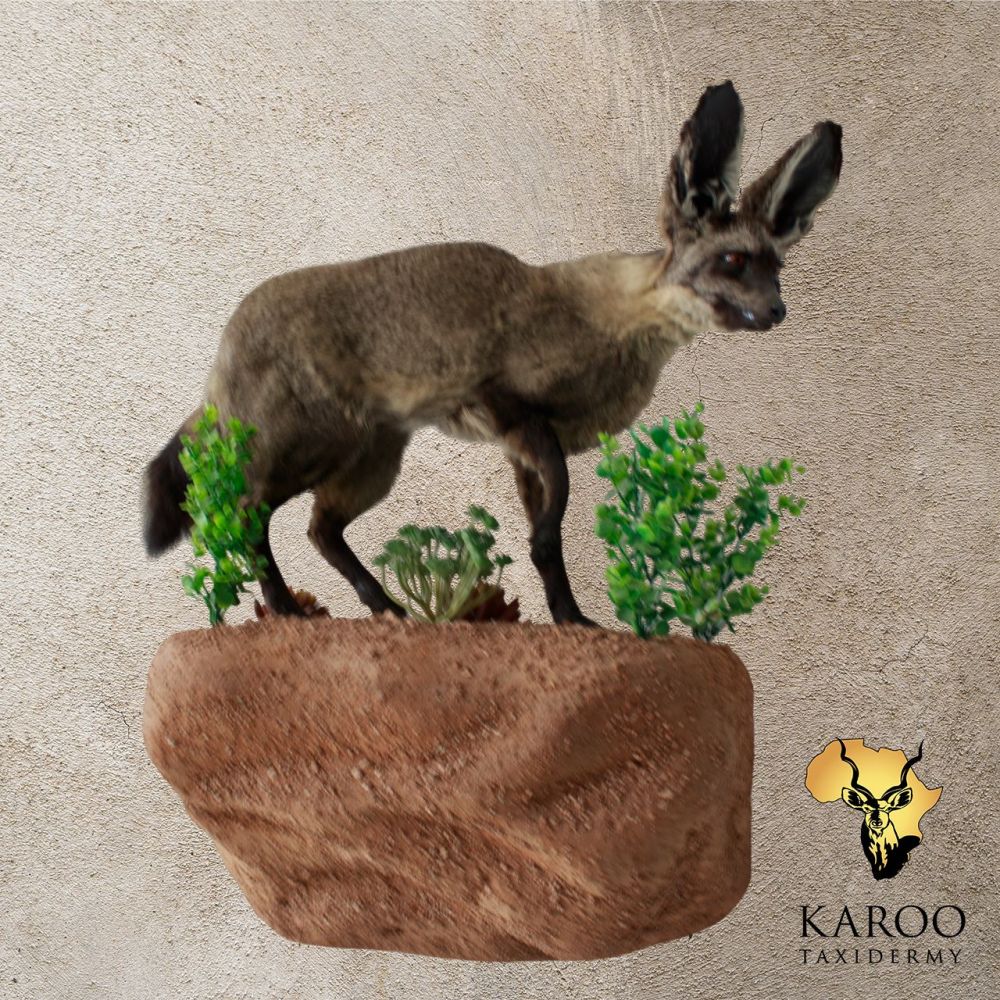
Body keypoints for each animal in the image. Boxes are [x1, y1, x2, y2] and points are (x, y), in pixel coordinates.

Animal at [143, 80, 842, 625]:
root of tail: (227, 340)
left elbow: (545, 547)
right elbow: (548, 534)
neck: (605, 325)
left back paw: (387, 608)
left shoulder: (523, 446)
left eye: (775, 268)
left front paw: (571, 618)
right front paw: (571, 614)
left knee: (319, 529)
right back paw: (289, 610)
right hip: (307, 446)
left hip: (369, 461)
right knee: (240, 515)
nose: (777, 312)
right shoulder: (512, 412)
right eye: (733, 262)